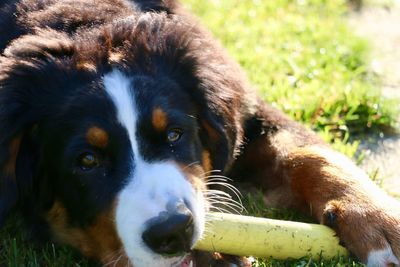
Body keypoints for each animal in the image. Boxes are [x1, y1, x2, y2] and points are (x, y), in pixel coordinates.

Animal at [0, 0, 400, 267]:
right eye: (87, 160)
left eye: (174, 135)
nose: (173, 231)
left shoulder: (250, 118)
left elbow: (313, 155)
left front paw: (379, 221)